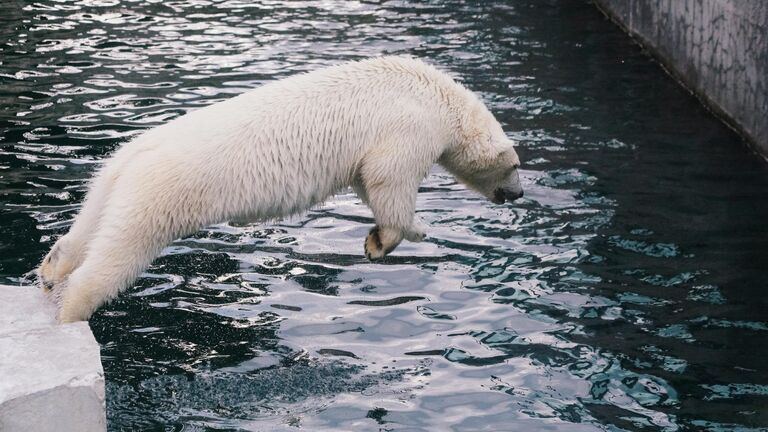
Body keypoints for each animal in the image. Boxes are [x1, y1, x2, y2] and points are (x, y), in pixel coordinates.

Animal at [39, 55, 524, 322]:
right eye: (516, 165)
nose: (519, 194)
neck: (439, 98)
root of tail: (137, 154)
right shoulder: (409, 127)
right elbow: (389, 180)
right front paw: (397, 236)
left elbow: (366, 181)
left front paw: (378, 239)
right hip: (161, 193)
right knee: (120, 253)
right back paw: (70, 310)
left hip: (112, 180)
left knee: (90, 226)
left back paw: (51, 271)